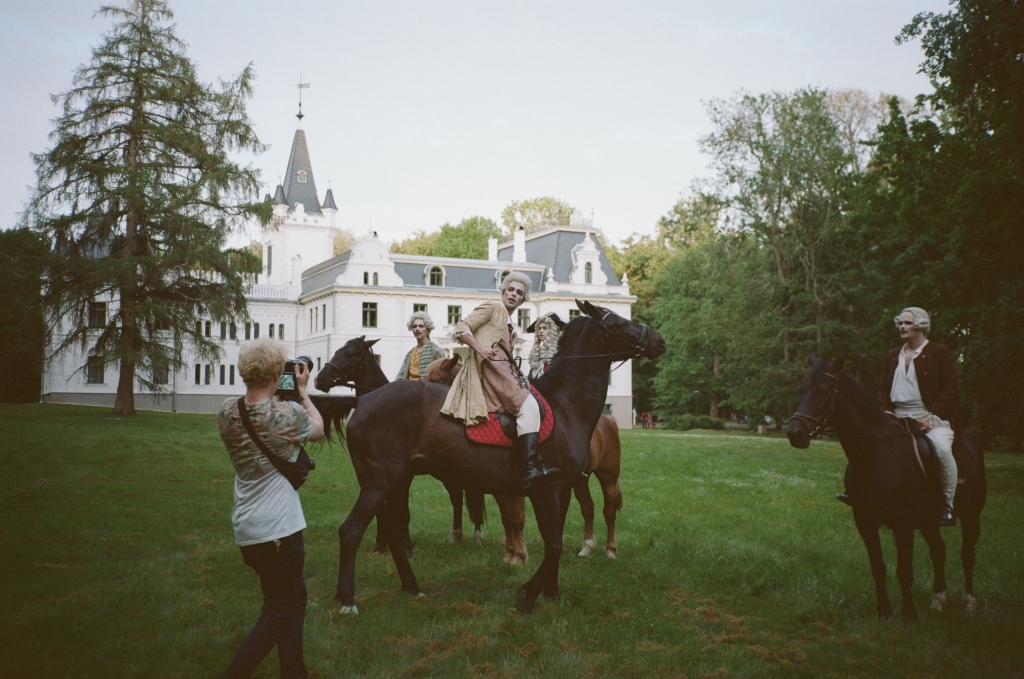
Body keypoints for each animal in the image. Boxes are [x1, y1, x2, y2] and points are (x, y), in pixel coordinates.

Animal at [313, 333, 485, 553]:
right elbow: (383, 510)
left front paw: (405, 545)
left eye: (350, 353)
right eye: (336, 351)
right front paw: (381, 544)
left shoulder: (404, 476)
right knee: (457, 497)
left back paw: (476, 534)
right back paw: (457, 534)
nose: (320, 379)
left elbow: (402, 510)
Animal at [782, 356, 983, 622]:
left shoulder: (903, 523)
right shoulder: (865, 521)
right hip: (928, 521)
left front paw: (909, 615)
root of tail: (972, 445)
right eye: (801, 390)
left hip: (971, 517)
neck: (876, 453)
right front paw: (884, 612)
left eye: (824, 390)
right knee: (938, 551)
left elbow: (904, 571)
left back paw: (968, 603)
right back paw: (938, 600)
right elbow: (878, 567)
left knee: (967, 556)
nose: (795, 433)